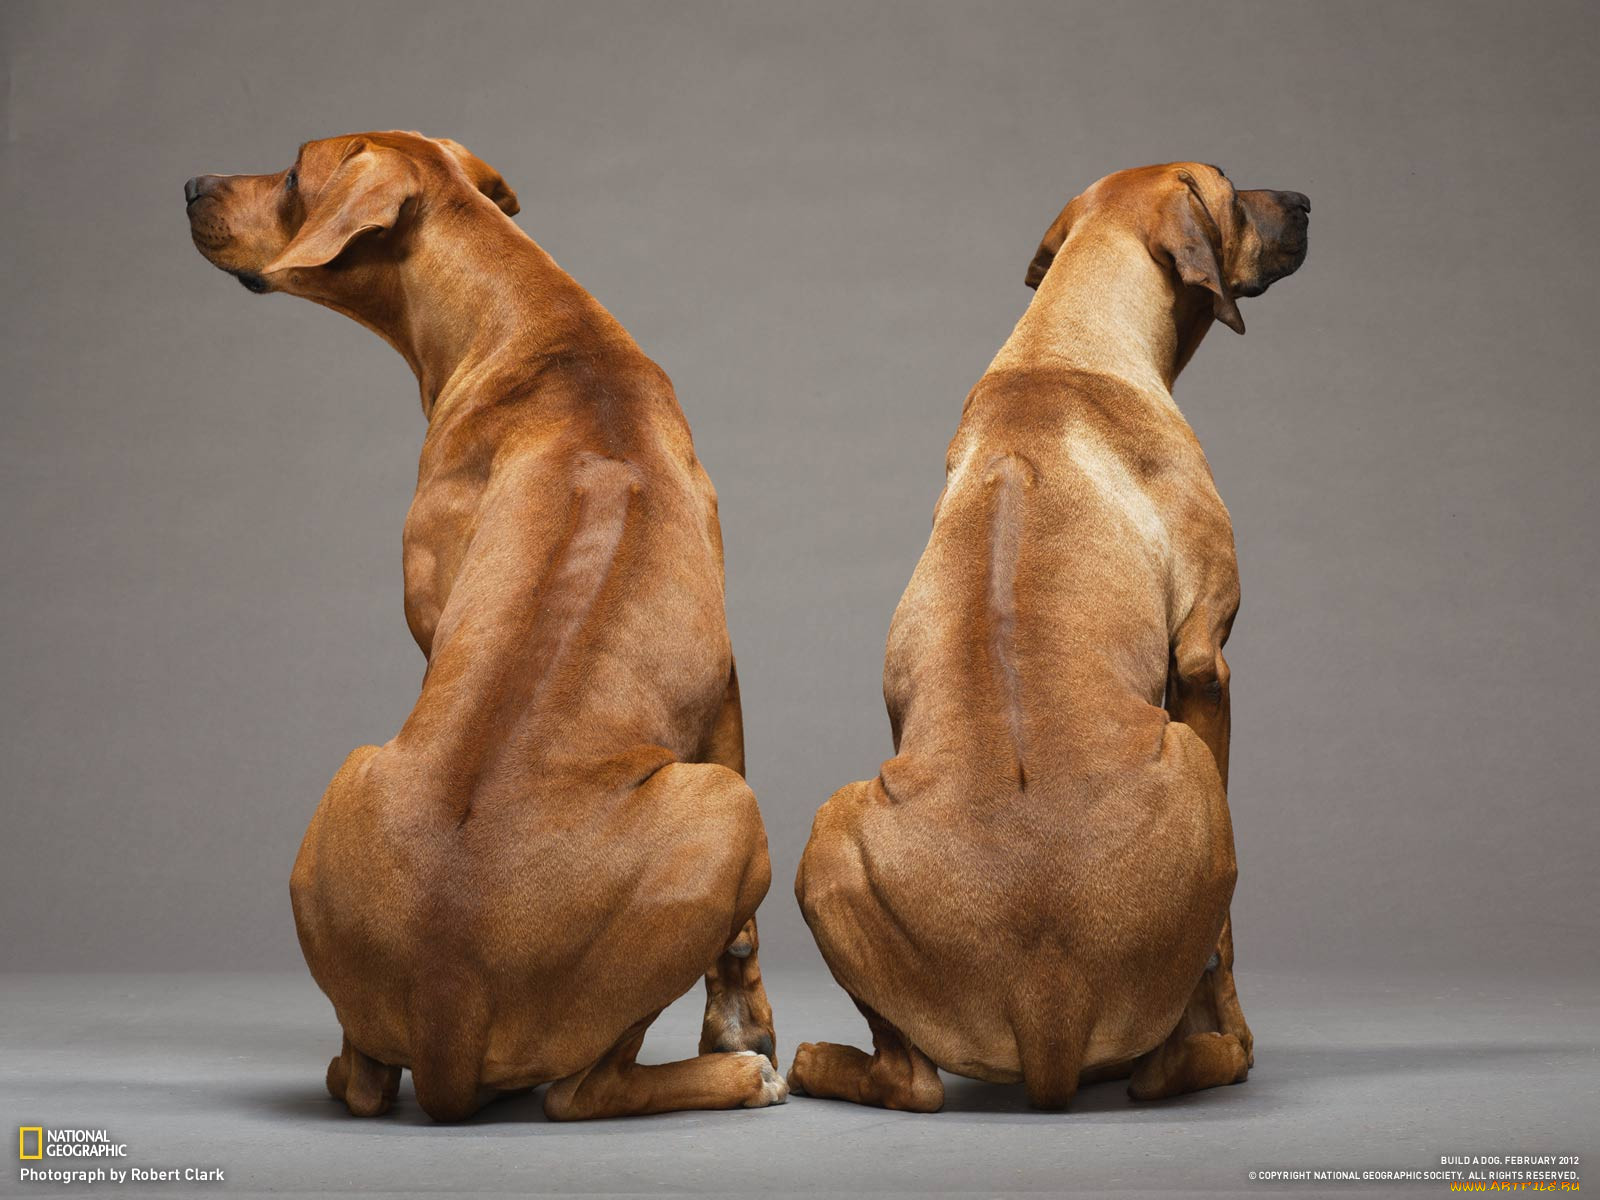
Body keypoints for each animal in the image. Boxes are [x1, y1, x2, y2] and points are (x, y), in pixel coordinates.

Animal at [187, 133, 787, 1126]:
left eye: (292, 173)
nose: (191, 184)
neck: (541, 328)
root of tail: (448, 992)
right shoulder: (727, 680)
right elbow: (739, 935)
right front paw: (744, 1028)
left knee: (411, 1083)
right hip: (721, 803)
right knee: (574, 1090)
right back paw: (736, 1074)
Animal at [784, 164, 1299, 1113]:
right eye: (1230, 188)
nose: (1309, 204)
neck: (1065, 349)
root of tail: (1046, 995)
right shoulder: (1203, 660)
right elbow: (1228, 938)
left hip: (831, 830)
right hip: (1181, 760)